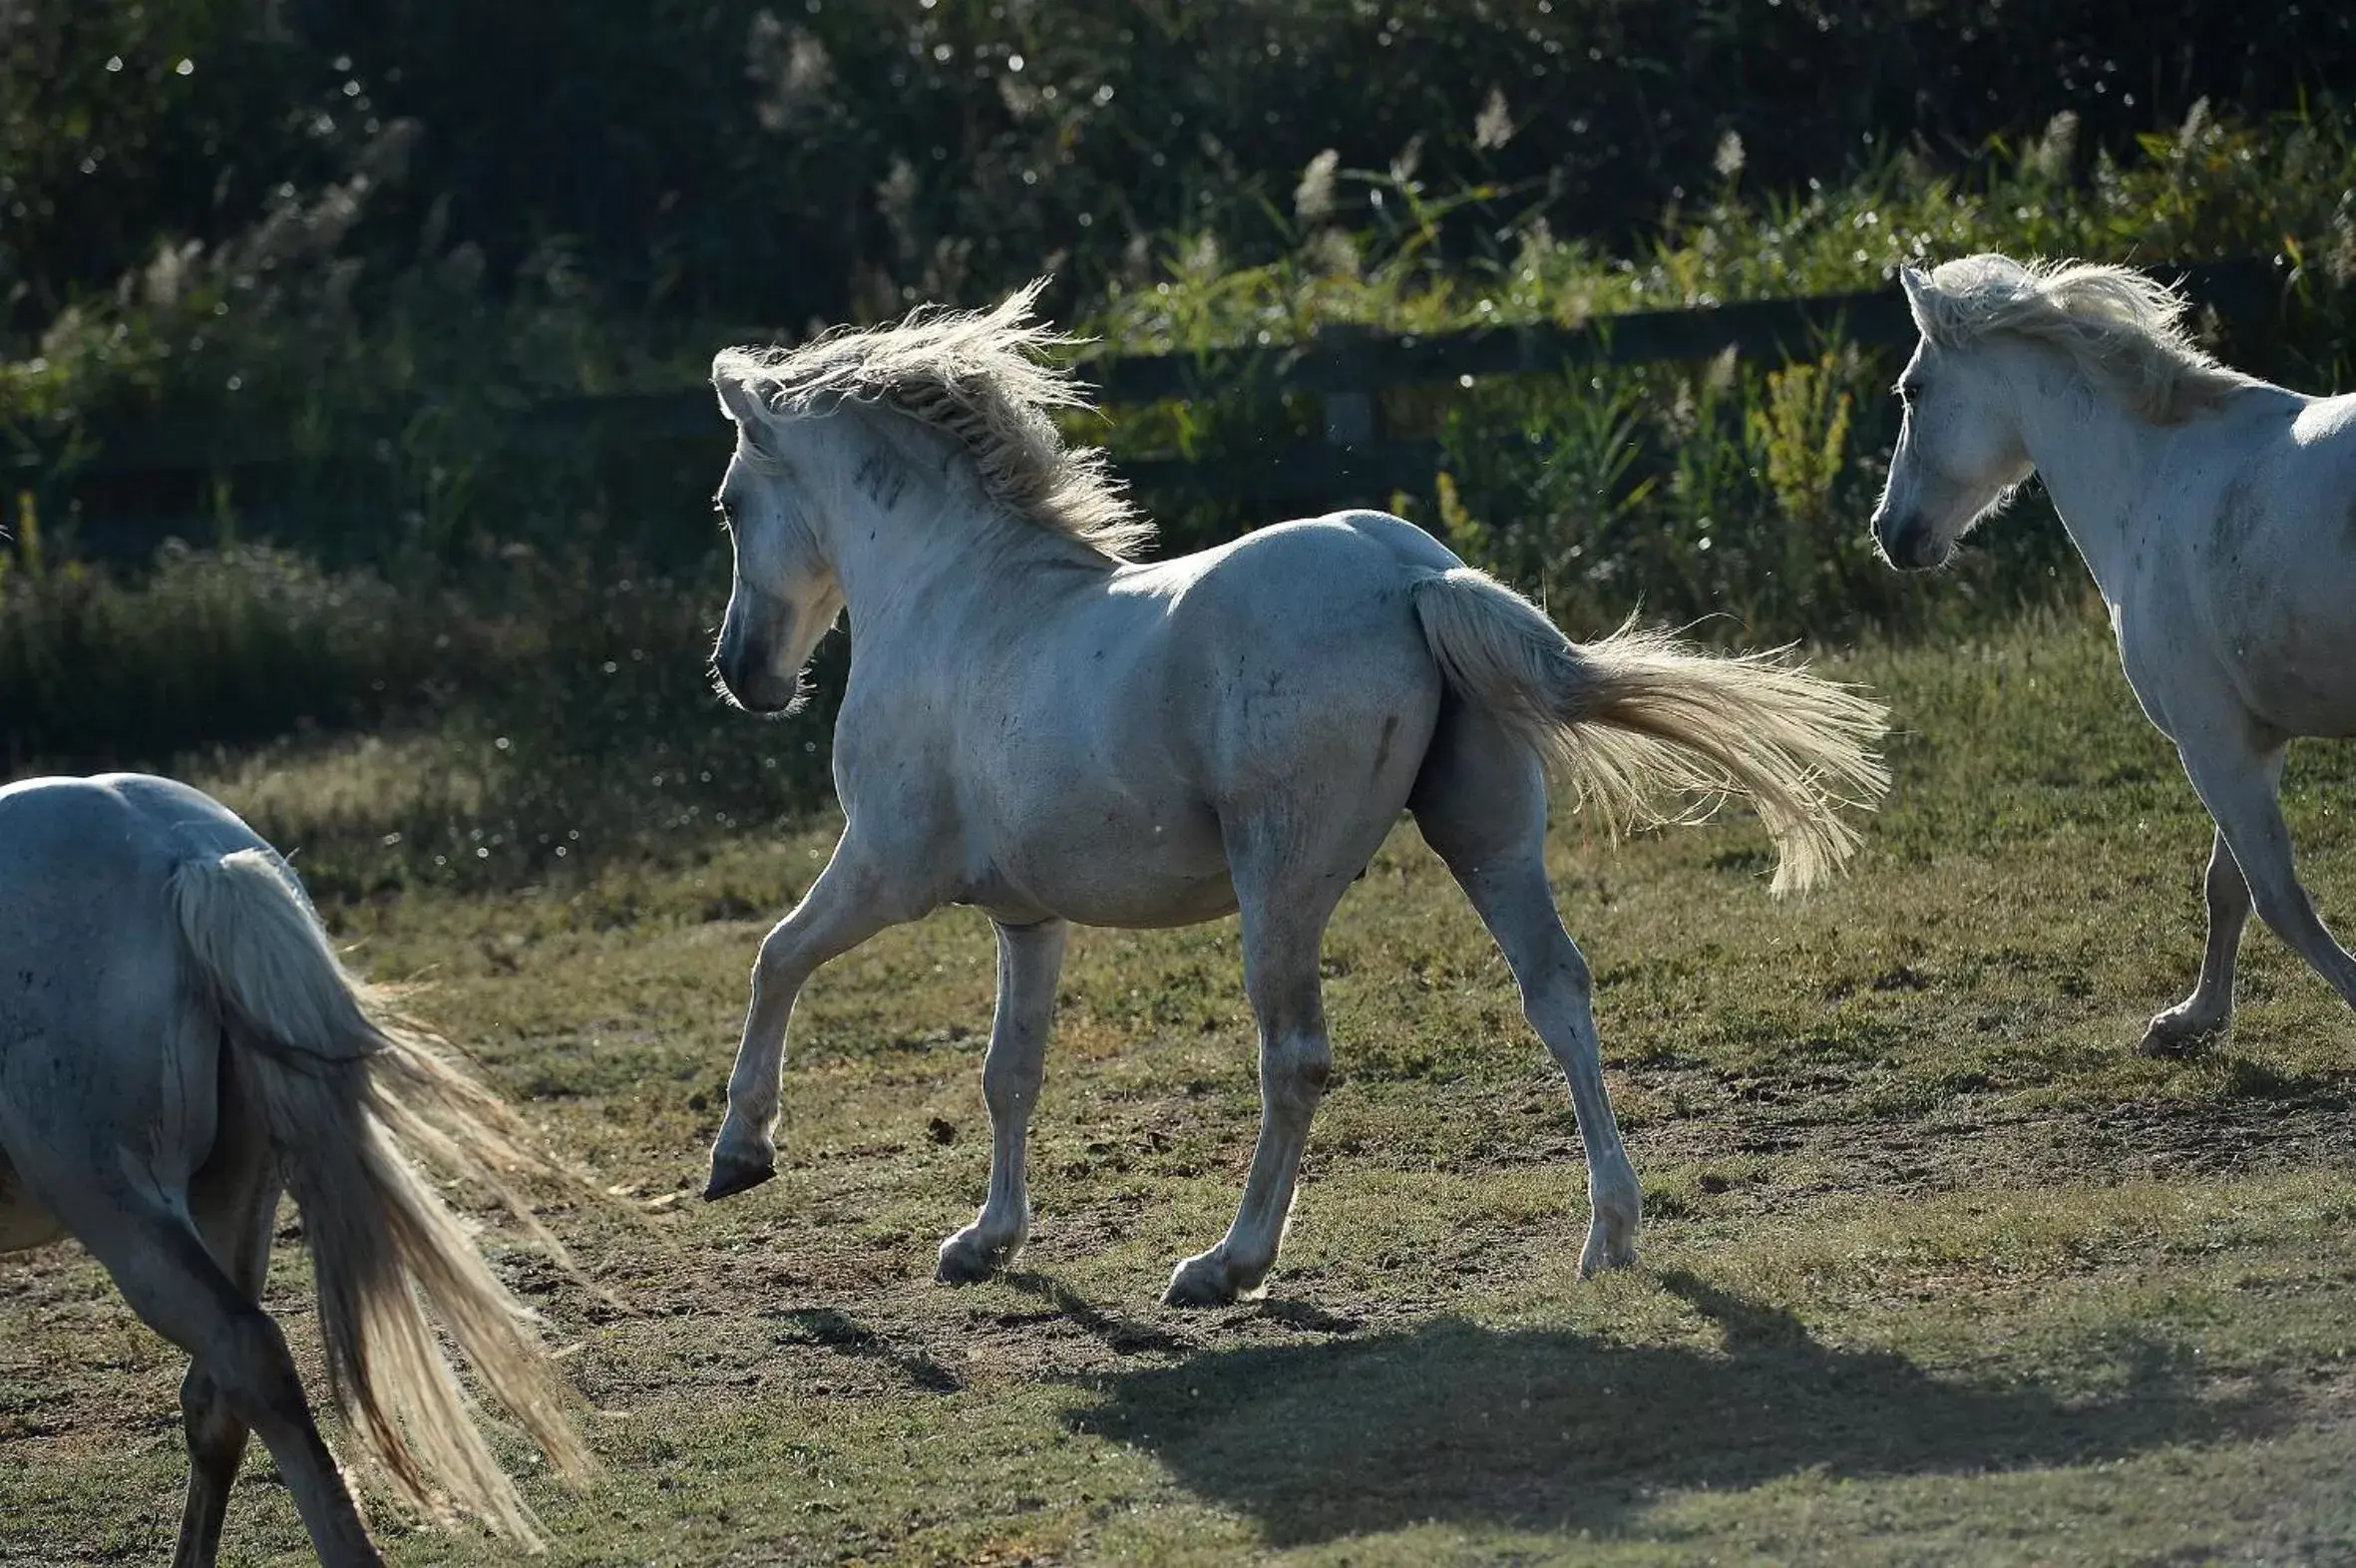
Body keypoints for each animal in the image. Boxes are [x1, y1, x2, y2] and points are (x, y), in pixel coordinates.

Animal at [687, 283, 1884, 1309]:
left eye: (731, 504)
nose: (745, 675)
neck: (960, 599)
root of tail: (1414, 575)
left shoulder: (887, 868)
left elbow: (774, 958)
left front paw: (740, 1153)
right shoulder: (1027, 917)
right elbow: (1008, 1073)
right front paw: (987, 1243)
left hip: (1283, 882)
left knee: (1295, 1055)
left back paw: (1227, 1264)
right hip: (1487, 839)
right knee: (1557, 992)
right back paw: (1610, 1235)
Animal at [1875, 252, 2356, 1049]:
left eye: (1912, 390)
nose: (1890, 532)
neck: (2158, 479)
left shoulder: (2212, 739)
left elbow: (2276, 897)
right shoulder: (2247, 739)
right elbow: (2228, 888)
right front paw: (2191, 1020)